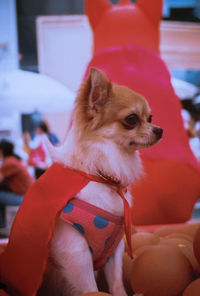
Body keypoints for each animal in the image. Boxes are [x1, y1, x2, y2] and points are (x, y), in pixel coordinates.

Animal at [39, 67, 162, 296]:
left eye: (150, 117)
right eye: (132, 119)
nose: (159, 129)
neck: (102, 177)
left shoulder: (114, 249)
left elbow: (116, 282)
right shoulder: (76, 252)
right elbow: (89, 287)